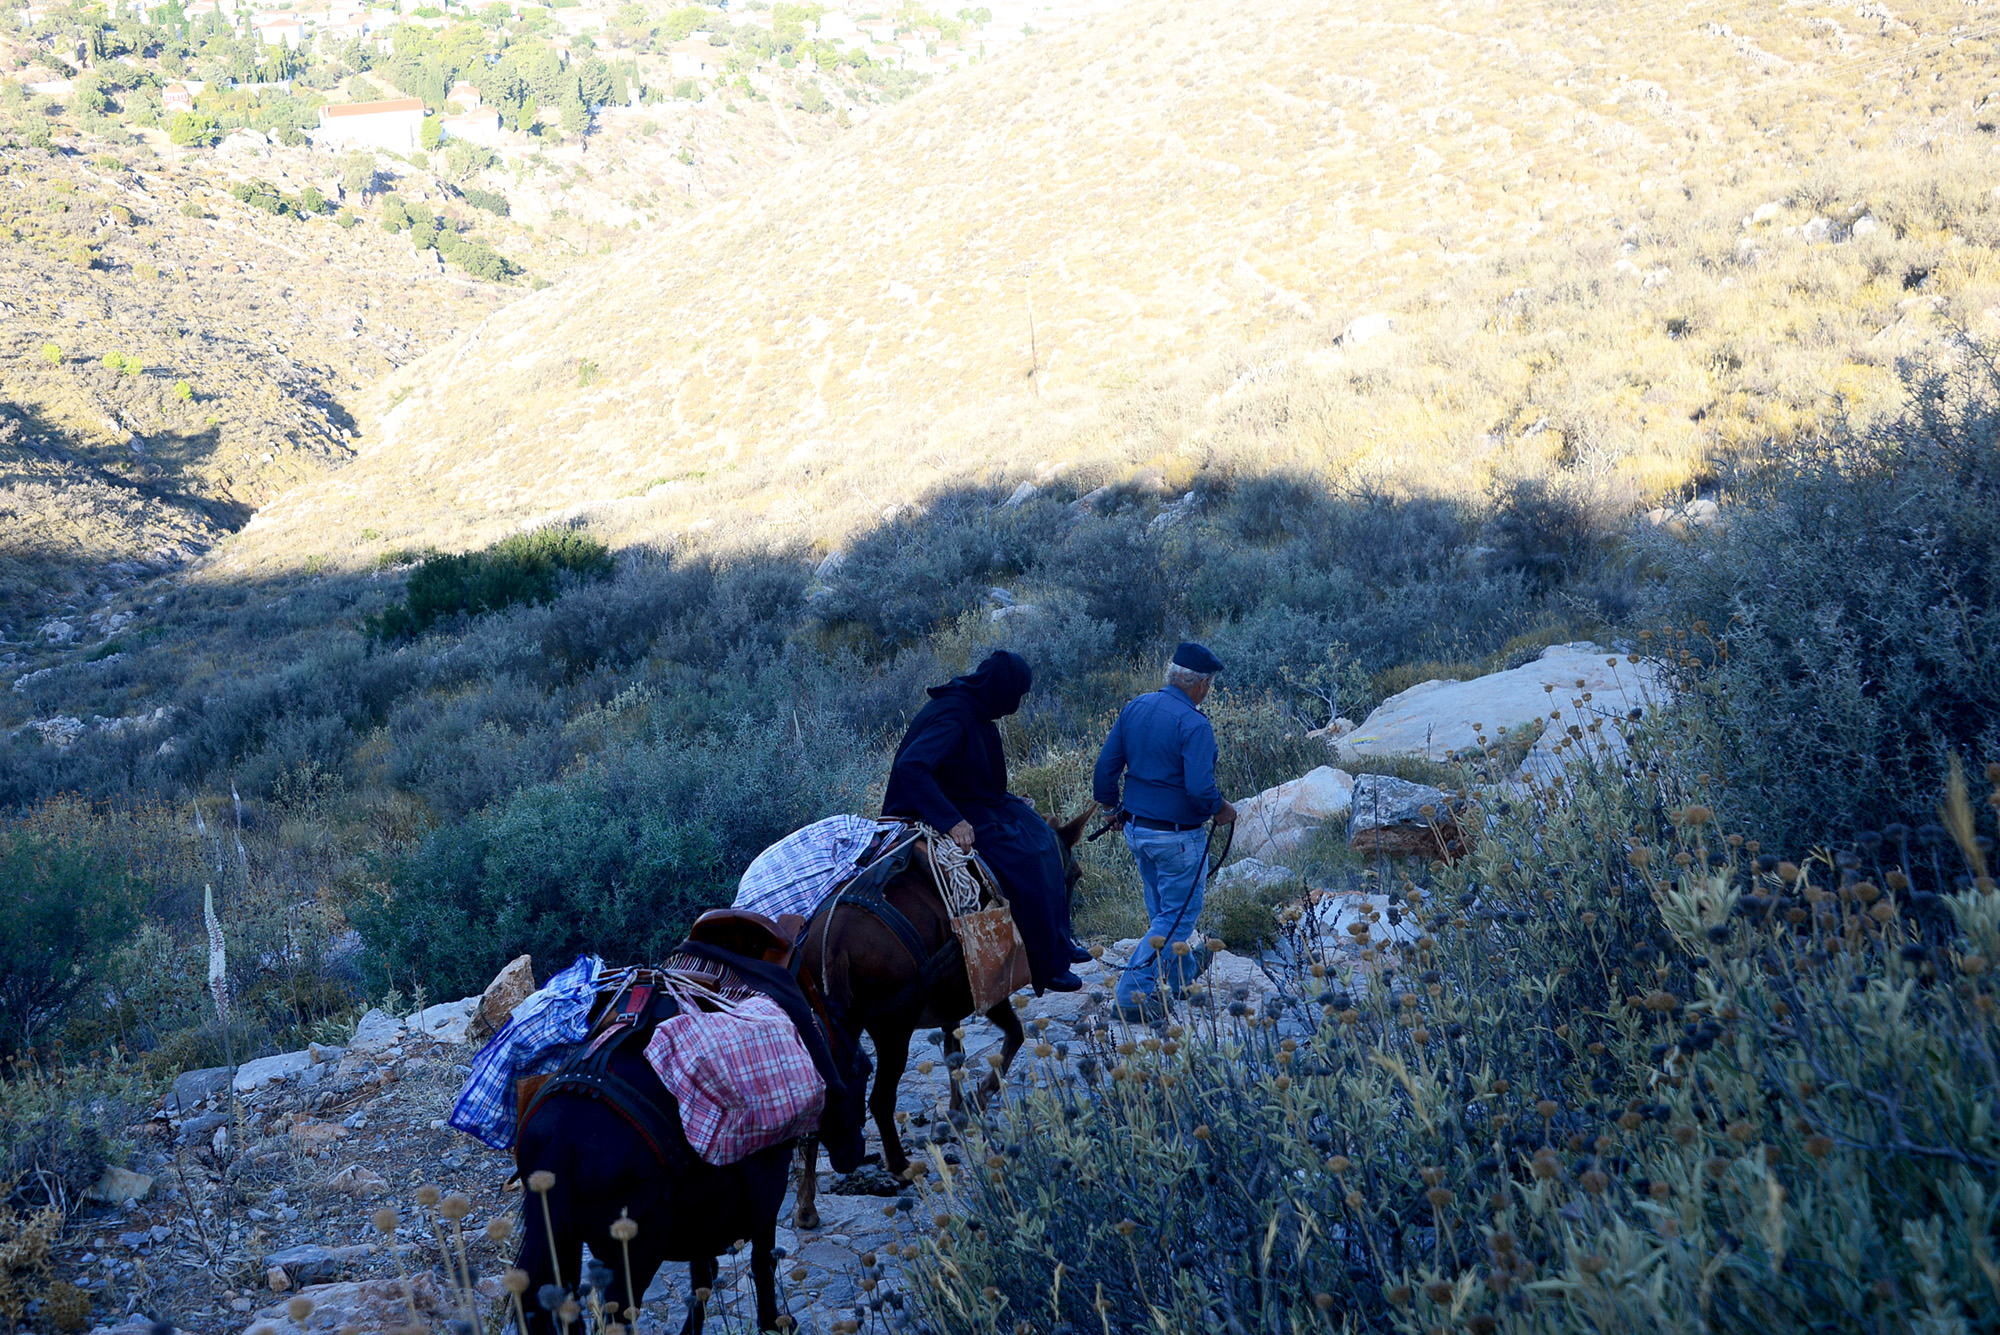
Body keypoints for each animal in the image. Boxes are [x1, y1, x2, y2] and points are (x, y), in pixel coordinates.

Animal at [790, 804, 1093, 1229]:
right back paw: (900, 1167)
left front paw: (954, 1111)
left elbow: (954, 1053)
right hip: (893, 1030)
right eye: (1075, 874)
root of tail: (835, 943)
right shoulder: (988, 990)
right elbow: (1012, 1036)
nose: (1074, 945)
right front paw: (977, 1099)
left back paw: (806, 1204)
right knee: (880, 1099)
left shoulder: (952, 1002)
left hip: (830, 1029)